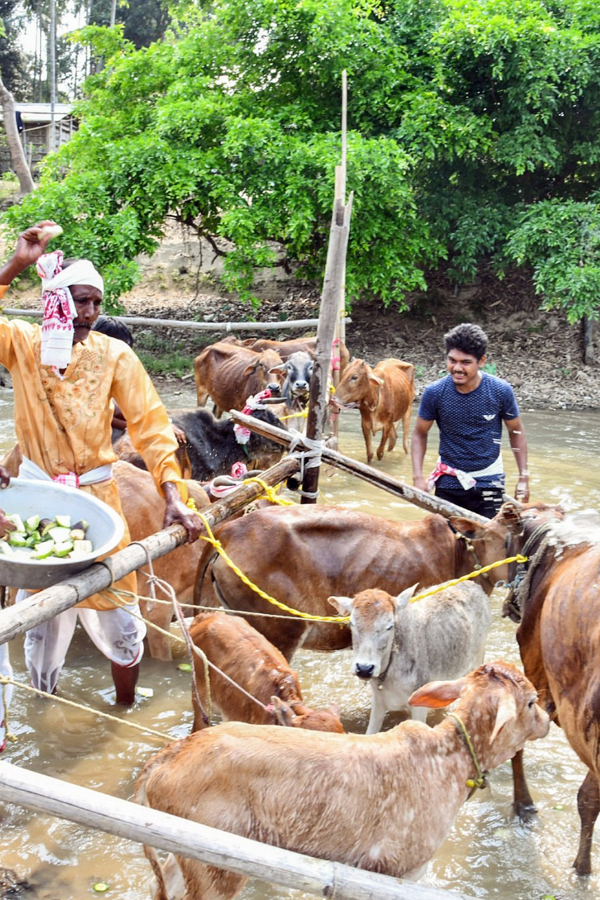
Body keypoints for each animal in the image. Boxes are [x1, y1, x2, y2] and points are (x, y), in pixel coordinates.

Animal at [135, 652, 548, 900]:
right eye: (530, 702)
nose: (546, 720)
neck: (450, 759)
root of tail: (167, 757)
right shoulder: (404, 868)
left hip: (186, 856)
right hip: (215, 869)